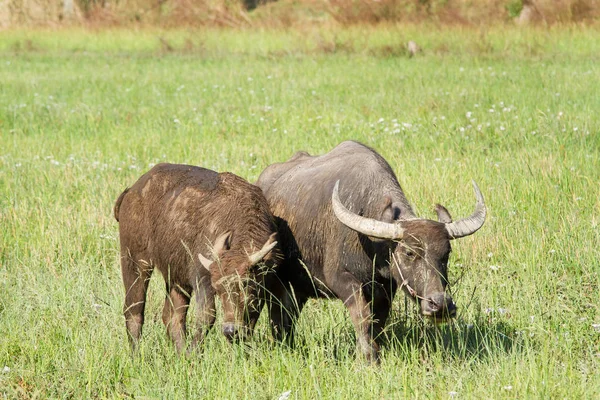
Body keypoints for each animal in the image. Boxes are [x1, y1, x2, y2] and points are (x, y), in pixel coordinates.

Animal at [115, 161, 282, 352]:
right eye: (218, 289)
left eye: (246, 283)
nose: (230, 330)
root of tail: (132, 192)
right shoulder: (202, 278)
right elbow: (207, 316)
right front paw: (193, 352)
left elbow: (251, 318)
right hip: (135, 262)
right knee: (134, 310)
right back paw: (136, 353)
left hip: (175, 279)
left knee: (173, 316)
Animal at [255, 141, 486, 362]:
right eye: (409, 253)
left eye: (446, 254)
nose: (441, 305)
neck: (375, 248)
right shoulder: (343, 279)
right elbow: (363, 317)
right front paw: (367, 358)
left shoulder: (386, 289)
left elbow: (378, 323)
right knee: (276, 313)